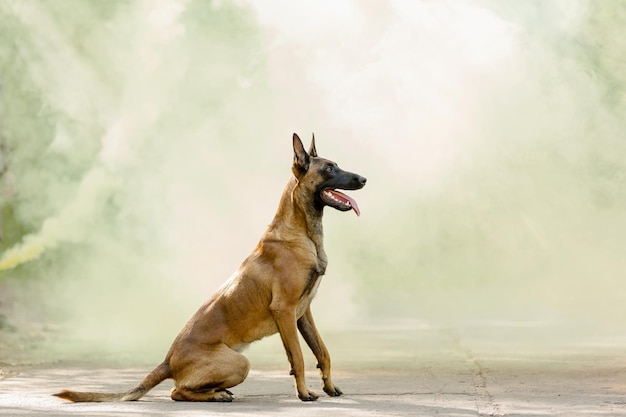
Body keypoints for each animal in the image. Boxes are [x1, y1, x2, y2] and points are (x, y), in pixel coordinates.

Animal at [54, 132, 366, 400]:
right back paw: (216, 394)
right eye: (329, 169)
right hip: (240, 363)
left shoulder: (303, 313)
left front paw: (329, 386)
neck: (302, 233)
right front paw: (303, 393)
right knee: (176, 391)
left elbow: (322, 352)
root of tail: (167, 361)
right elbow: (299, 358)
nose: (363, 178)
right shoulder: (285, 311)